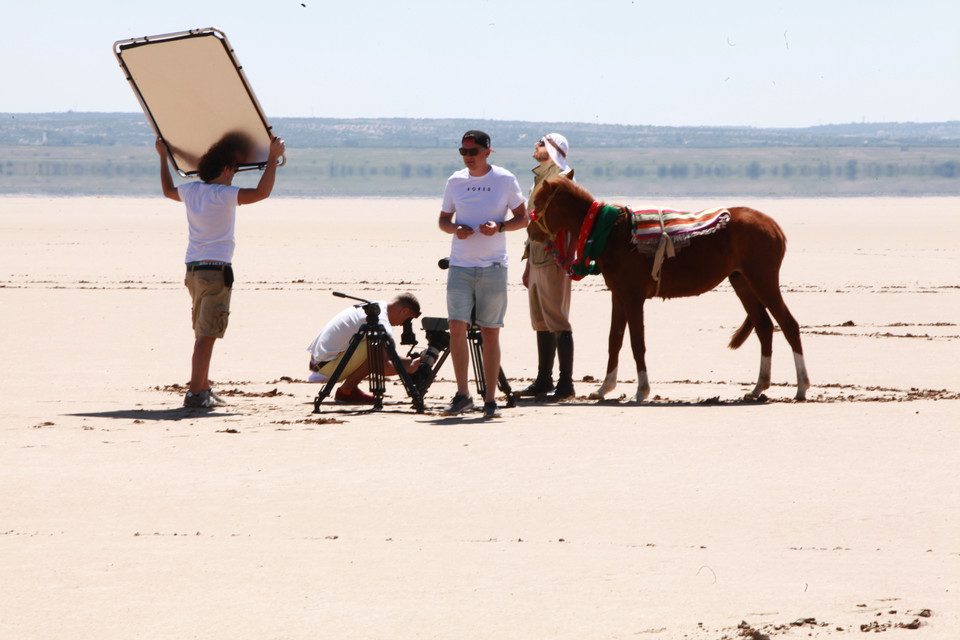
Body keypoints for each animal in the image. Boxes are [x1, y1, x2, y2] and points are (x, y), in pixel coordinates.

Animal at [532, 178, 808, 402]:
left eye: (537, 200)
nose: (532, 234)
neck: (610, 233)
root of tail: (774, 226)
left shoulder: (633, 297)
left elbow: (637, 342)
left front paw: (642, 390)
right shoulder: (618, 296)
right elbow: (614, 340)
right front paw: (604, 388)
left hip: (763, 280)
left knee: (789, 325)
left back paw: (801, 387)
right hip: (743, 282)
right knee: (764, 327)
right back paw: (759, 387)